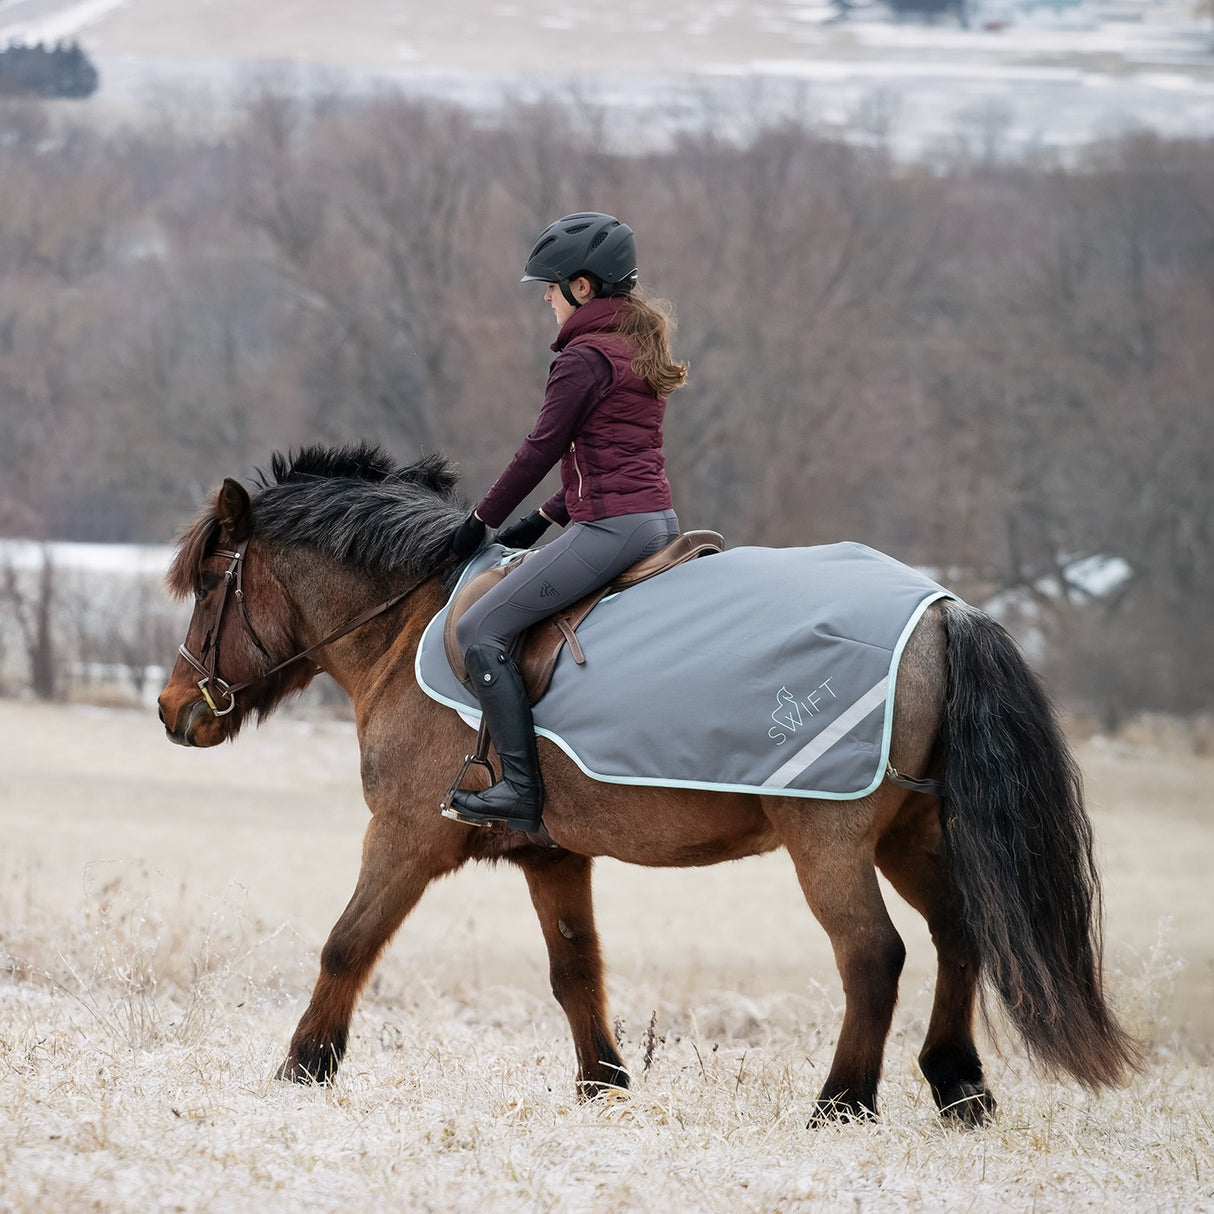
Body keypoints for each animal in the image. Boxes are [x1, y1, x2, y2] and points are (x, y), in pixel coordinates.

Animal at [156, 442, 1138, 1125]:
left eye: (208, 585)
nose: (172, 709)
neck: (414, 625)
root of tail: (945, 610)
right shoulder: (551, 858)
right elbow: (575, 971)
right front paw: (604, 1085)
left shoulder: (405, 834)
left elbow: (347, 944)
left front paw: (303, 1066)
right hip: (912, 833)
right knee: (958, 932)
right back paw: (958, 1086)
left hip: (830, 839)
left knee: (874, 957)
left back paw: (841, 1105)